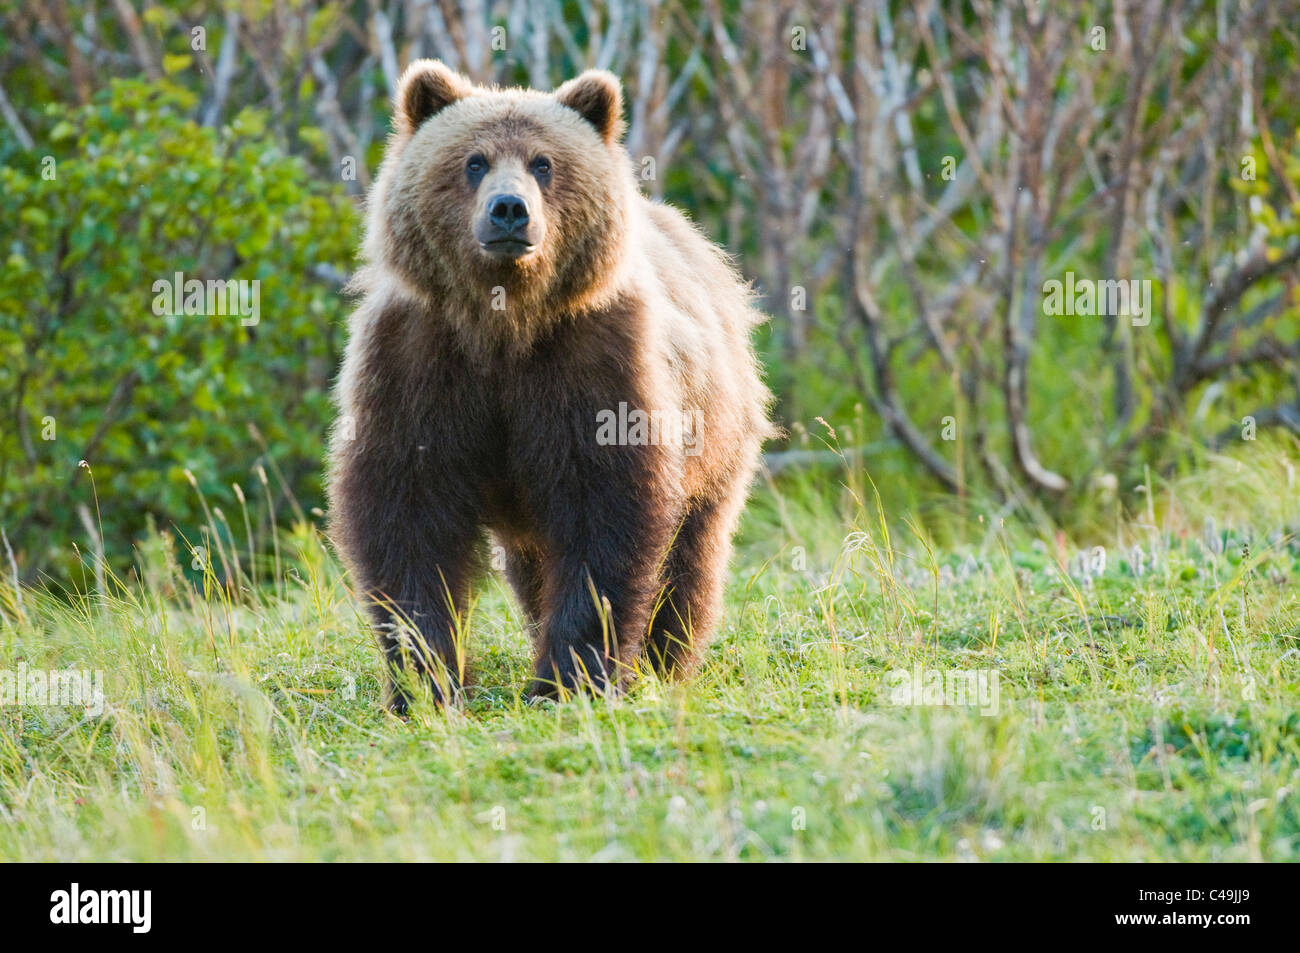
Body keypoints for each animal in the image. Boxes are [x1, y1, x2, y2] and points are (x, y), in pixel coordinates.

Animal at [327, 60, 773, 711]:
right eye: (474, 161)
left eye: (543, 163)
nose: (510, 210)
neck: (504, 324)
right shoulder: (420, 358)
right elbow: (407, 510)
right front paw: (425, 682)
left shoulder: (591, 360)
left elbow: (605, 513)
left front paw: (569, 679)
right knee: (534, 563)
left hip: (716, 435)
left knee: (692, 557)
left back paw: (666, 659)